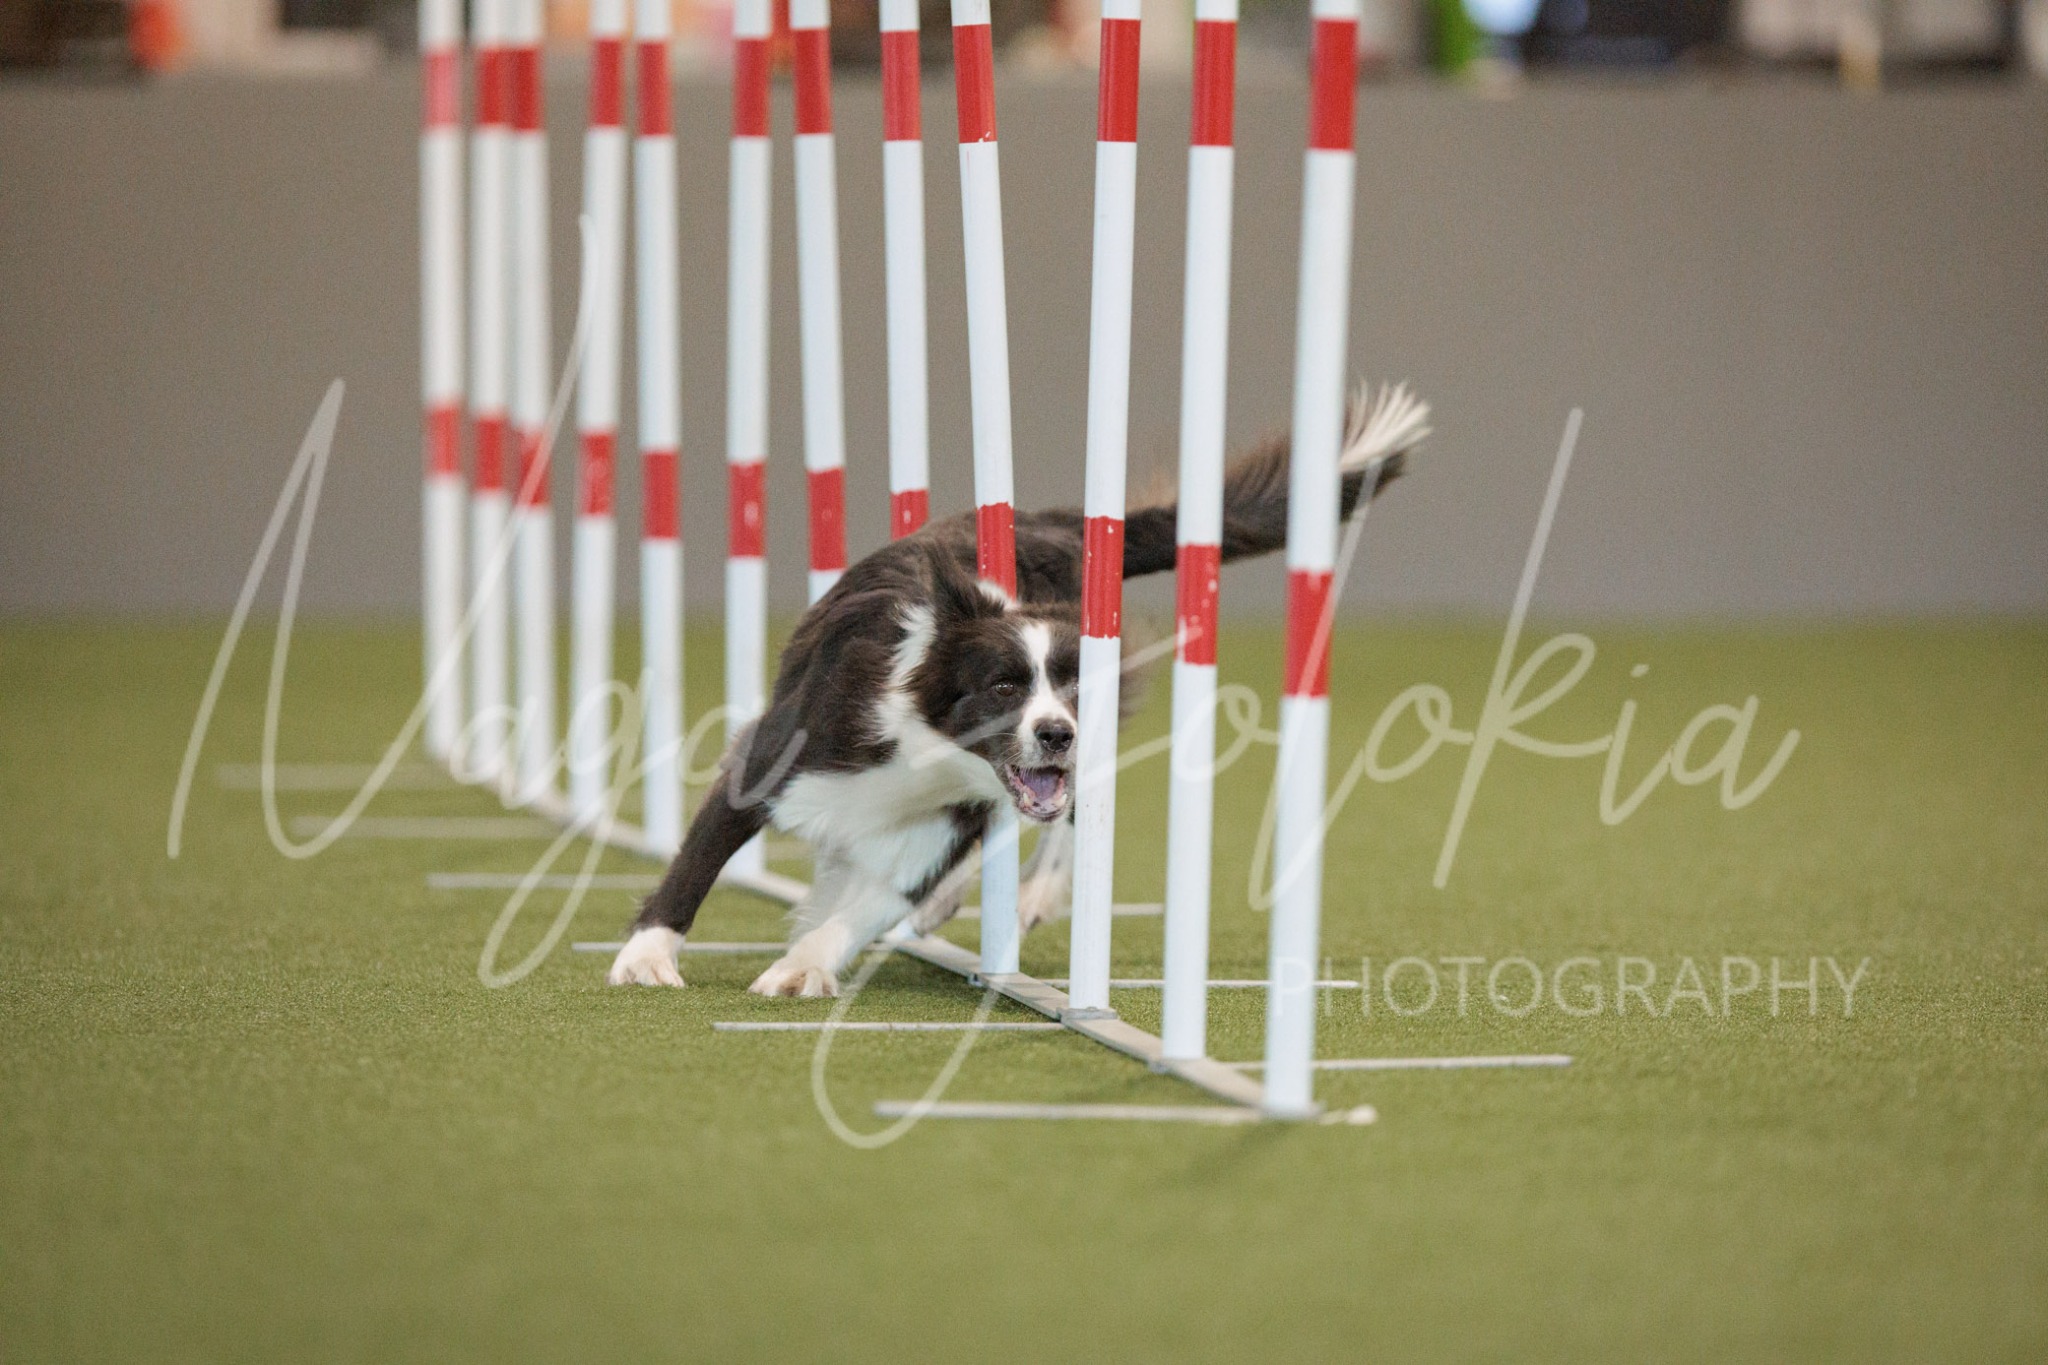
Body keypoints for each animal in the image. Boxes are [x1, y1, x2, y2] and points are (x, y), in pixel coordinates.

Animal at [608, 383, 1429, 996]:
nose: (1057, 732)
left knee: (1067, 815)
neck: (922, 745)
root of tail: (1062, 528)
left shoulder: (942, 826)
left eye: (1072, 690)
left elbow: (870, 905)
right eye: (1003, 687)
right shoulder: (776, 756)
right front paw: (647, 957)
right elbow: (697, 860)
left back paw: (1033, 892)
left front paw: (802, 967)